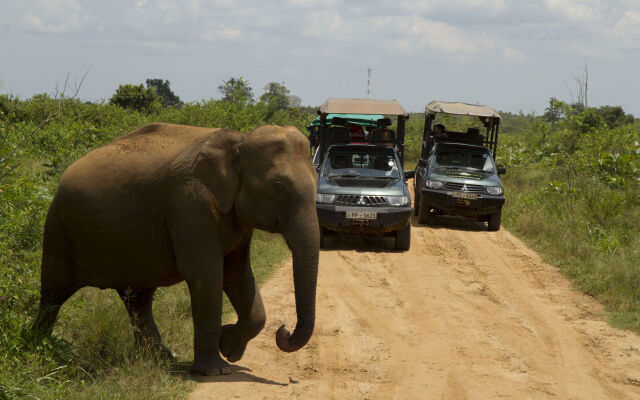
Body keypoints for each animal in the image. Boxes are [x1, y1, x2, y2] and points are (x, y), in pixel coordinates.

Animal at [32, 122, 320, 376]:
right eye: (279, 187)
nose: (283, 330)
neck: (240, 139)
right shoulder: (189, 202)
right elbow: (207, 275)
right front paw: (217, 370)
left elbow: (237, 274)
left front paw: (229, 348)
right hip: (58, 226)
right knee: (53, 293)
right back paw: (36, 347)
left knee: (137, 299)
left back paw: (161, 357)